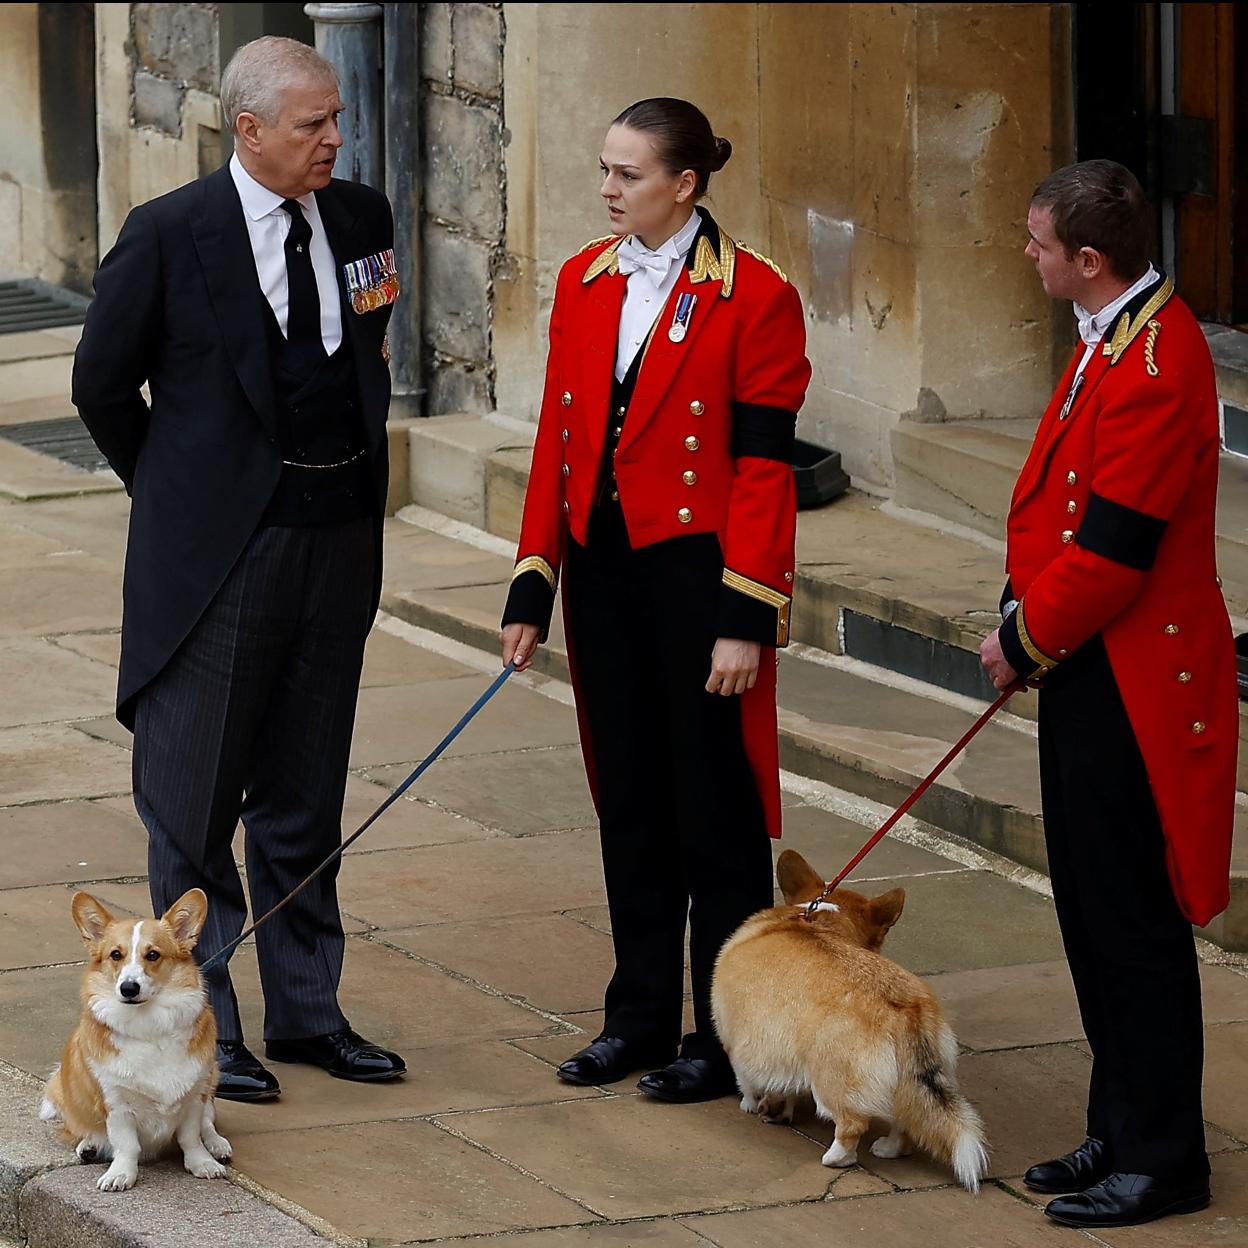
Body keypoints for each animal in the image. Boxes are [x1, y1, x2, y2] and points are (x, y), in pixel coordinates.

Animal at [39, 888, 232, 1188]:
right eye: (116, 955)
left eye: (152, 955)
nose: (128, 988)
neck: (148, 1025)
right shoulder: (116, 1103)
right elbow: (127, 1145)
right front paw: (120, 1175)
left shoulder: (193, 1097)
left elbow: (191, 1137)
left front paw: (202, 1163)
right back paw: (88, 1146)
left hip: (211, 1081)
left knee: (208, 1123)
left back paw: (218, 1145)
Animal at [713, 848, 983, 1188]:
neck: (819, 920)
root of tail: (905, 1011)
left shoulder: (739, 1039)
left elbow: (746, 1079)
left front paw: (750, 1105)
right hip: (912, 1080)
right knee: (905, 1119)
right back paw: (888, 1148)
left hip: (831, 1081)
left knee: (851, 1124)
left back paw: (835, 1157)